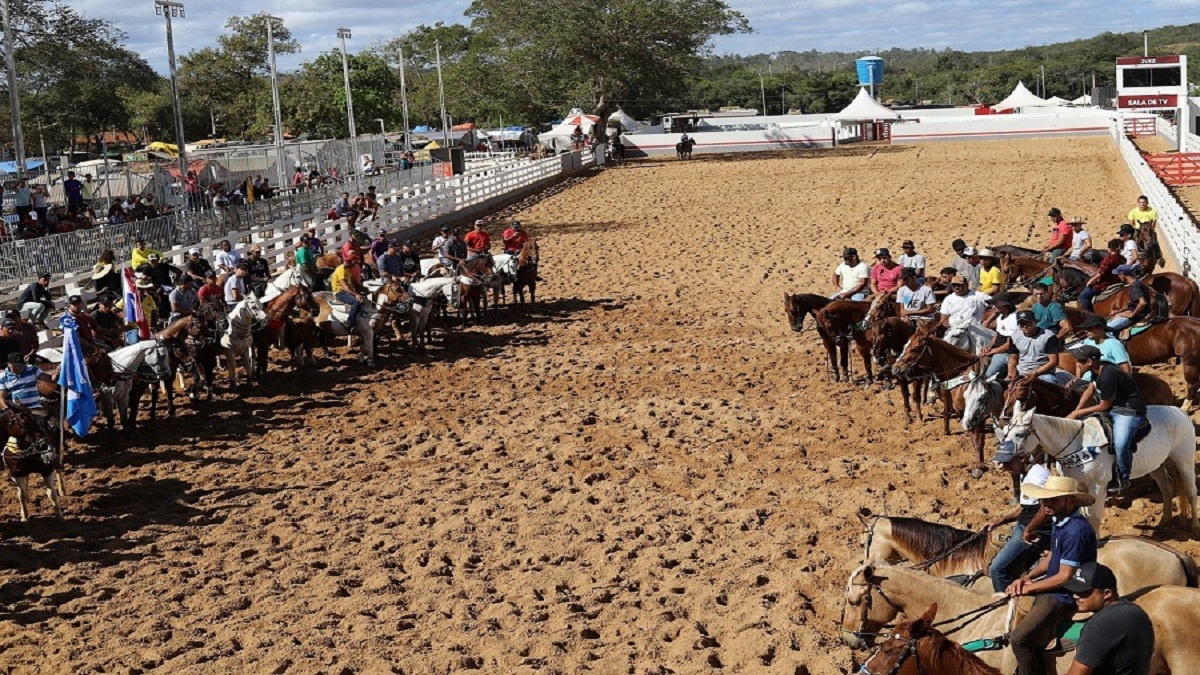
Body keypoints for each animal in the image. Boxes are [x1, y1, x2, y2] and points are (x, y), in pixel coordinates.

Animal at [998, 396, 1195, 533]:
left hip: (1185, 461)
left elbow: (1094, 519)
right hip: (1157, 466)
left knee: (1191, 493)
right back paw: (1164, 522)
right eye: (1006, 431)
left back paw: (1194, 527)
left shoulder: (1098, 488)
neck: (1079, 445)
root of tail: (1179, 412)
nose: (999, 462)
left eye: (1020, 434)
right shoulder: (1079, 488)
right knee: (1167, 488)